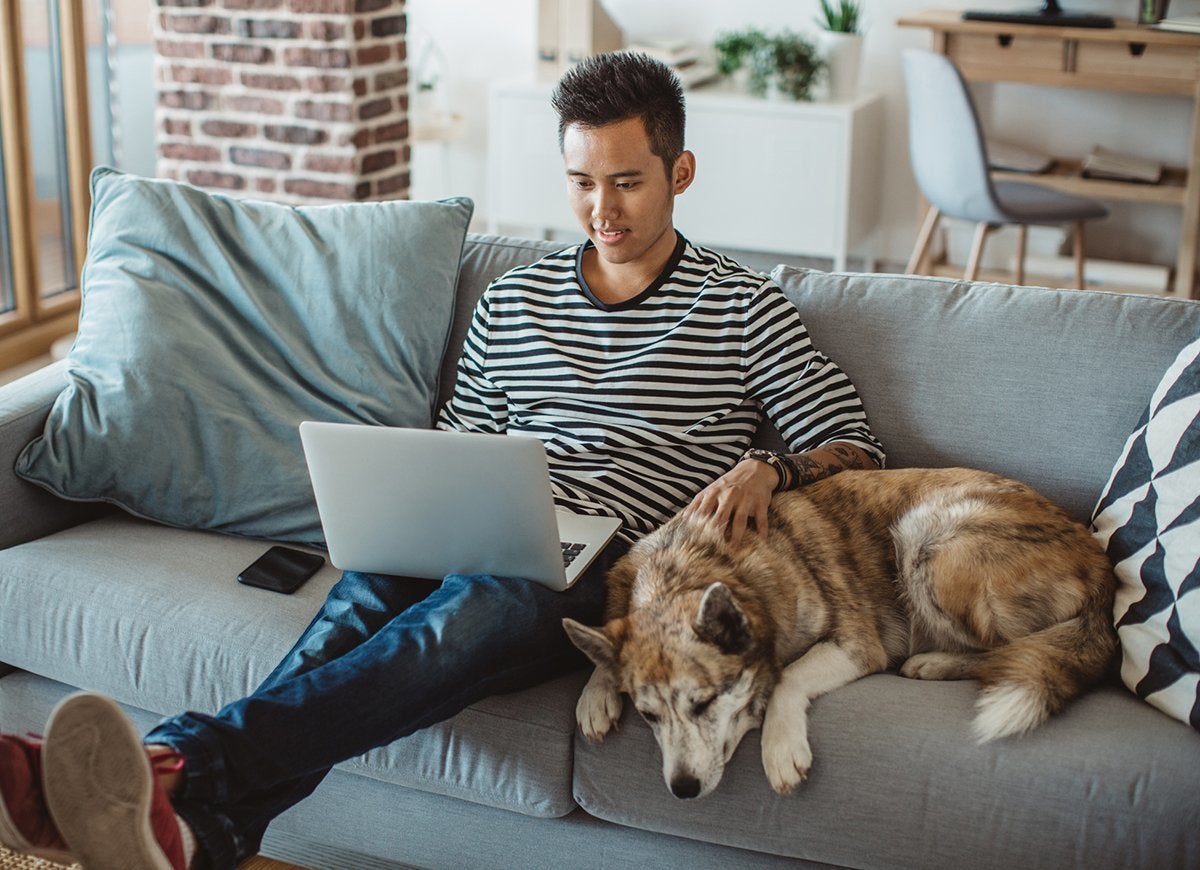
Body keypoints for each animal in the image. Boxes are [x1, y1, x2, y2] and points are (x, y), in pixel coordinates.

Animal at [561, 465, 1113, 796]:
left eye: (705, 702)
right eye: (648, 716)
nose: (683, 789)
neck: (695, 567)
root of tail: (1100, 565)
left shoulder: (856, 644)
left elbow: (787, 676)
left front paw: (780, 747)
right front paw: (596, 693)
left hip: (927, 535)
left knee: (1008, 649)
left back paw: (932, 662)